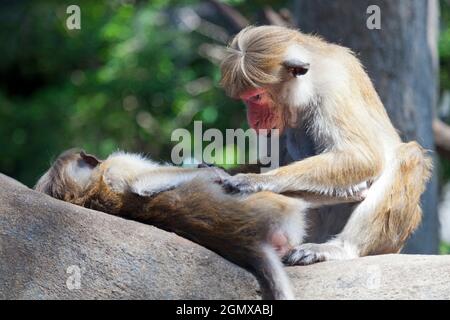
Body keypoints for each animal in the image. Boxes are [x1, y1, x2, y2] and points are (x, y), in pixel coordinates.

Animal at [34, 149, 366, 298]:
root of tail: (249, 242)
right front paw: (213, 171)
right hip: (278, 209)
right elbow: (142, 184)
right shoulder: (118, 166)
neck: (90, 192)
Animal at [220, 24, 434, 264]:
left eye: (256, 97)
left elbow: (362, 157)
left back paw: (342, 248)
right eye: (246, 99)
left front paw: (259, 180)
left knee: (409, 155)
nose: (253, 120)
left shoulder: (333, 86)